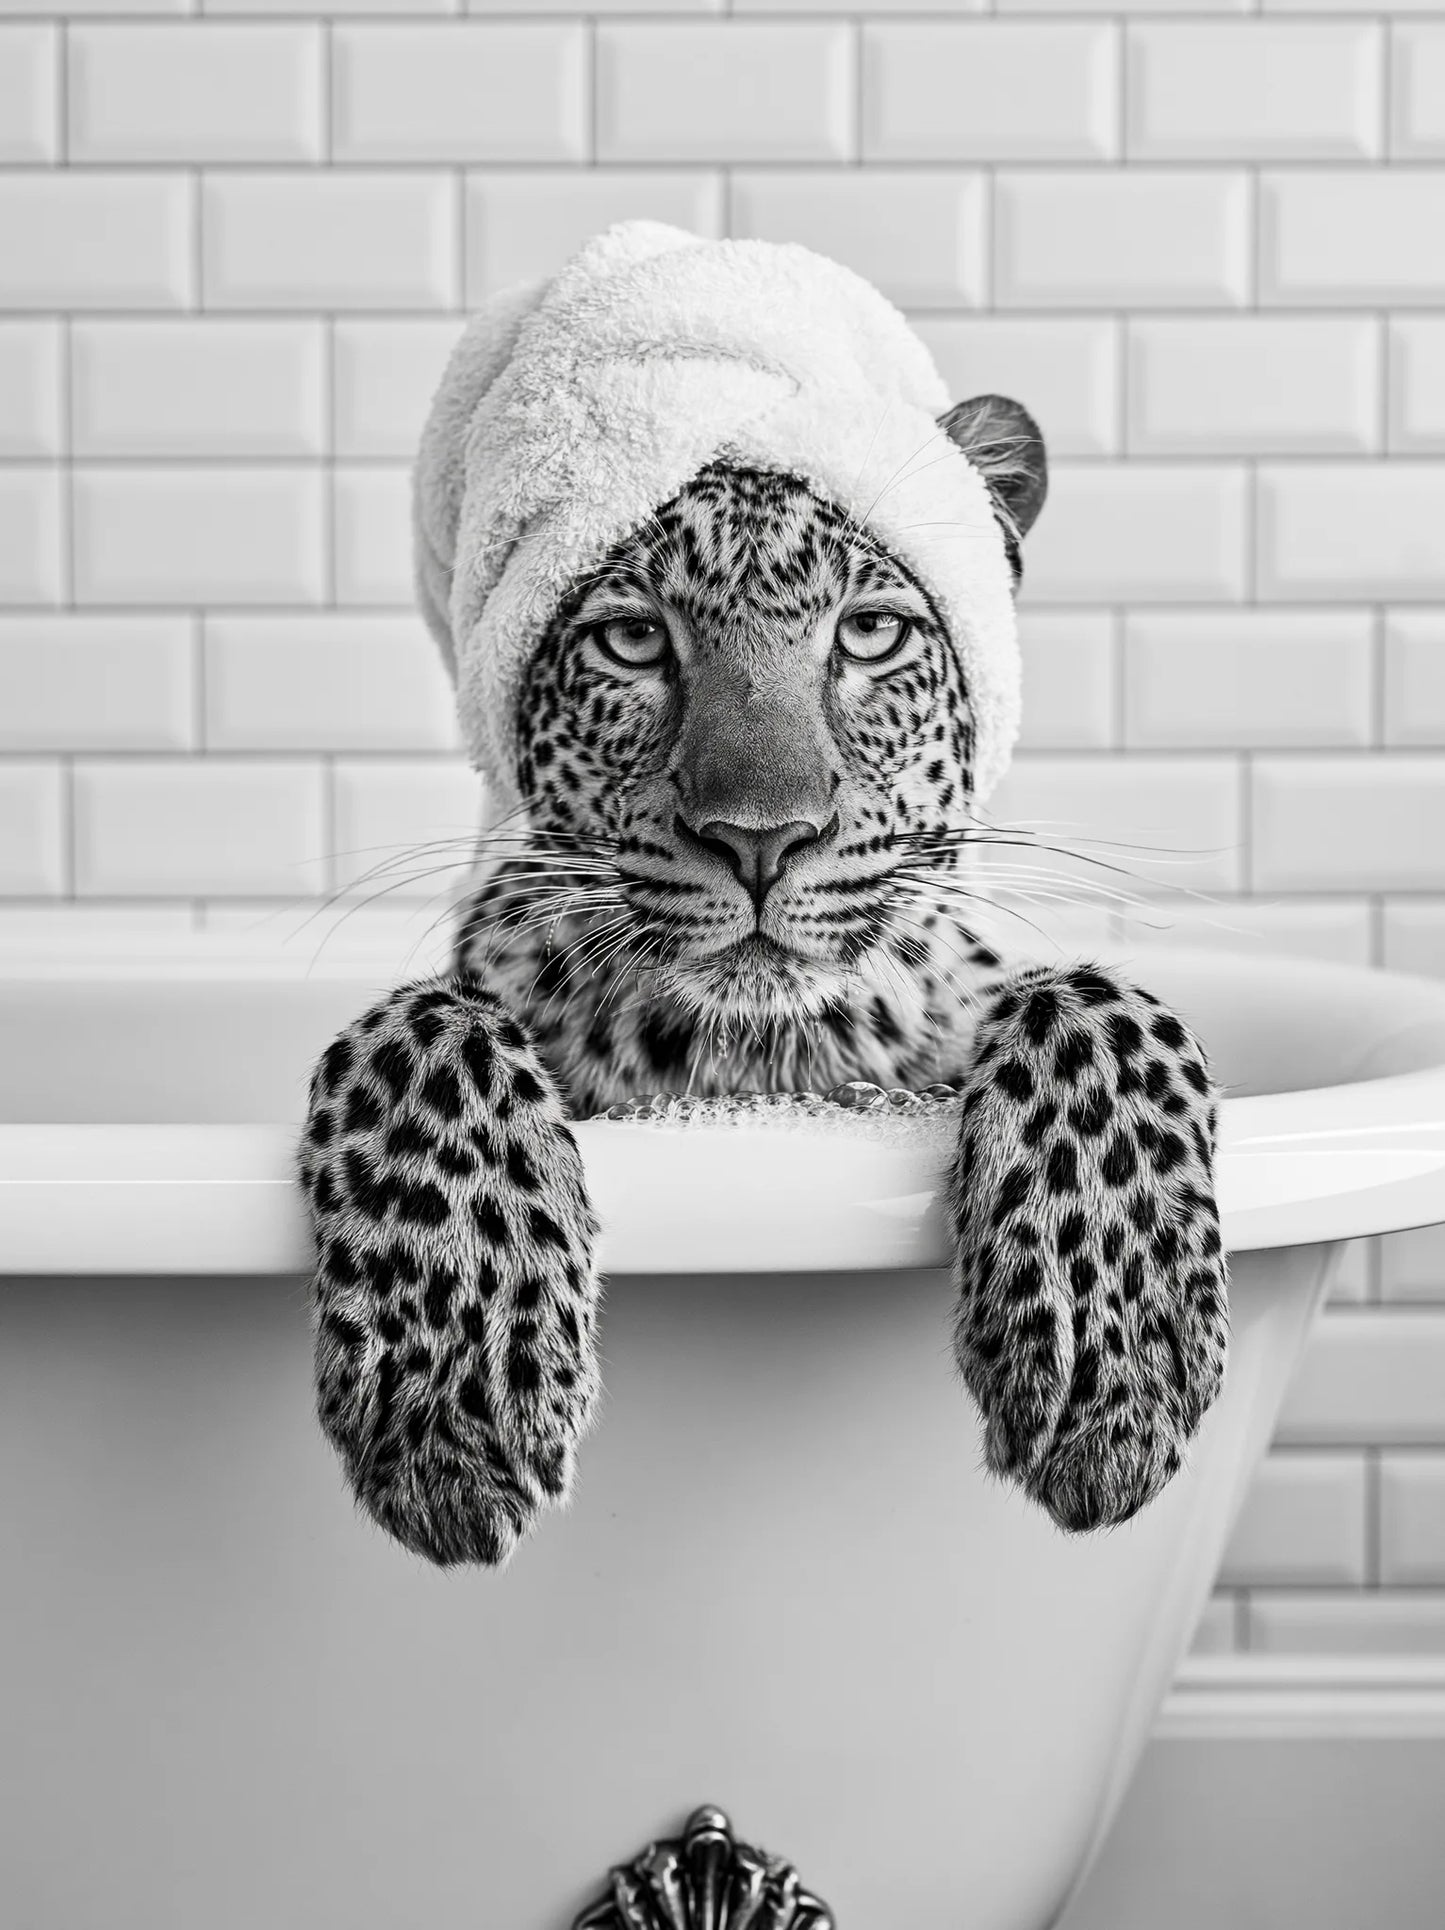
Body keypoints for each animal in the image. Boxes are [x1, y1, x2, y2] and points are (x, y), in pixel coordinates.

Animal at [296, 393, 1228, 1568]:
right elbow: (425, 1023)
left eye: (870, 633)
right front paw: (454, 1397)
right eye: (633, 638)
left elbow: (1090, 1001)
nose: (759, 837)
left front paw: (1111, 1357)